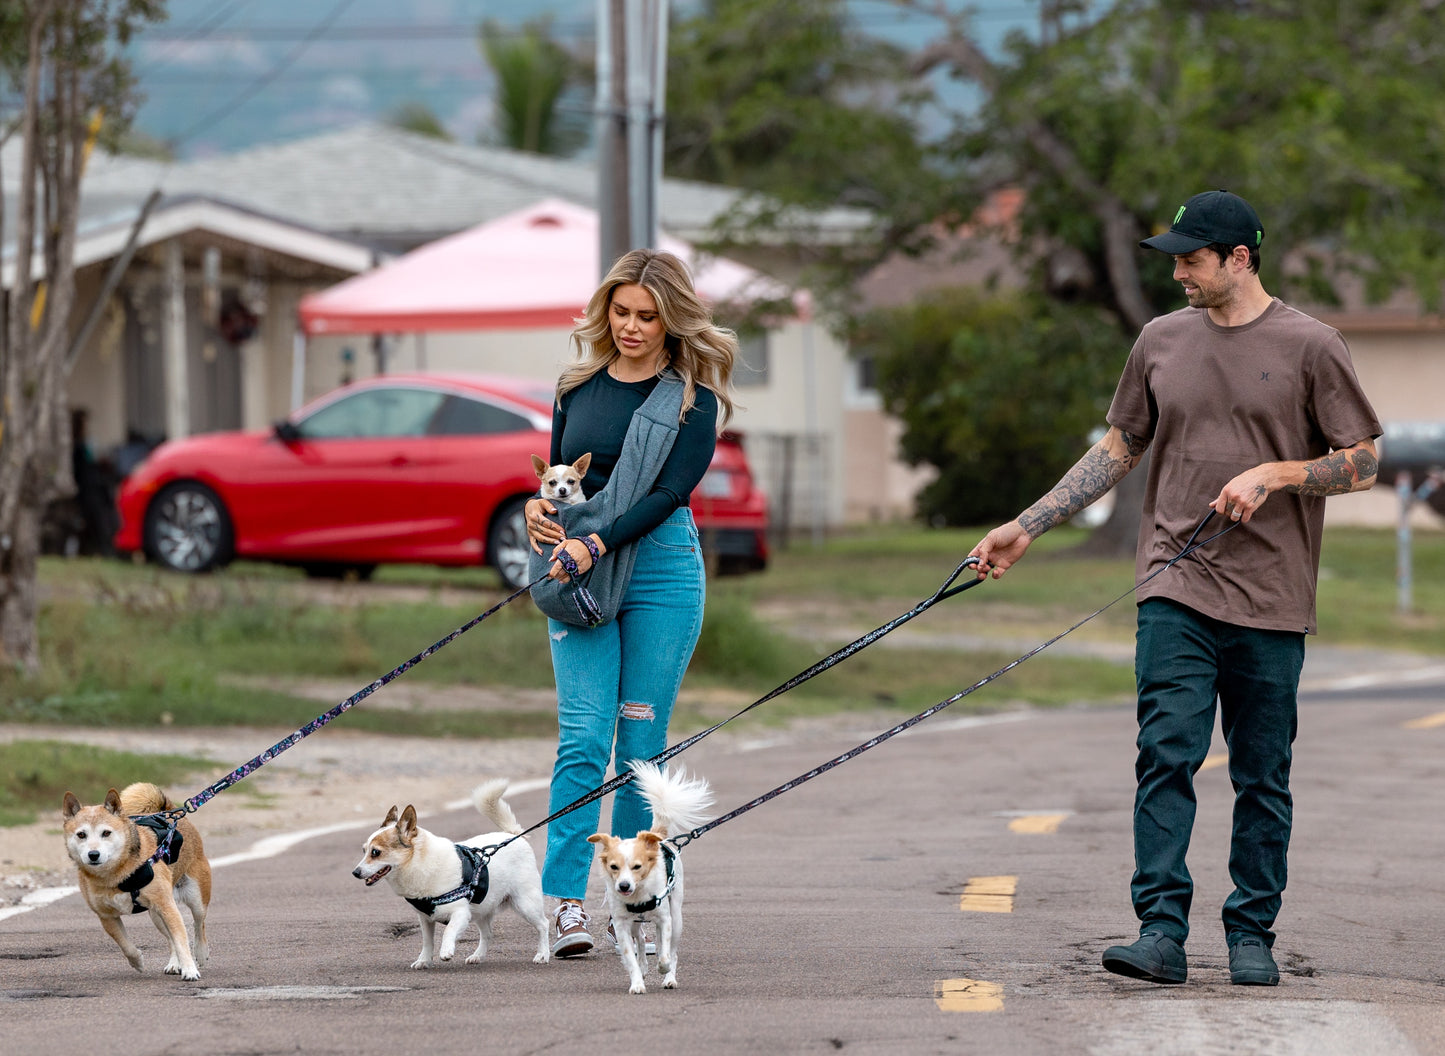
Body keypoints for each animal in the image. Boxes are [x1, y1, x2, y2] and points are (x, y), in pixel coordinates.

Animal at [61, 785, 210, 982]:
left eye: (106, 833)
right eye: (81, 835)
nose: (93, 854)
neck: (117, 875)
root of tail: (169, 812)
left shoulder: (166, 905)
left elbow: (181, 940)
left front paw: (190, 970)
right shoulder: (106, 917)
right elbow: (125, 945)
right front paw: (137, 961)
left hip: (195, 898)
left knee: (198, 924)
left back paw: (200, 953)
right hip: (156, 915)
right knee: (171, 938)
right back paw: (174, 963)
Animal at [352, 780, 549, 970]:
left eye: (376, 852)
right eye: (364, 851)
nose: (355, 872)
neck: (419, 863)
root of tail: (513, 835)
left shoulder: (460, 913)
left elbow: (449, 931)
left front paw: (446, 950)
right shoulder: (425, 919)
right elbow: (427, 942)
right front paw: (424, 960)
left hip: (525, 904)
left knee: (543, 925)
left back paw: (542, 955)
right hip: (482, 909)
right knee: (487, 934)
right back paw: (477, 956)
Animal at [589, 762, 713, 993]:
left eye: (637, 866)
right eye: (613, 867)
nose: (623, 886)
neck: (638, 895)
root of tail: (660, 838)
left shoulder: (665, 919)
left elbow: (665, 954)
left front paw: (663, 968)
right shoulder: (621, 925)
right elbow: (630, 958)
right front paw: (637, 982)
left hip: (676, 915)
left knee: (672, 949)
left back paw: (669, 978)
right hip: (636, 924)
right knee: (639, 939)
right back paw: (645, 966)